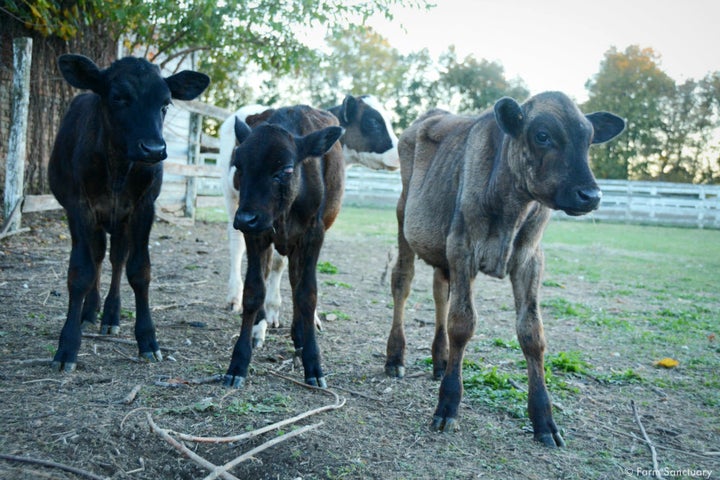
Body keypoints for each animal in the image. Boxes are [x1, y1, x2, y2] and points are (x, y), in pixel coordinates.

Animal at [386, 91, 628, 446]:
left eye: (590, 138)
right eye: (542, 135)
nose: (591, 195)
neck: (511, 208)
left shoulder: (530, 259)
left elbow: (532, 332)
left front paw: (544, 419)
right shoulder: (462, 249)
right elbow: (463, 323)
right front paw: (448, 404)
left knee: (440, 291)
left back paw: (441, 359)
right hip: (403, 214)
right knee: (402, 283)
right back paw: (395, 357)